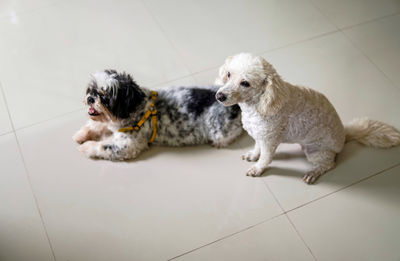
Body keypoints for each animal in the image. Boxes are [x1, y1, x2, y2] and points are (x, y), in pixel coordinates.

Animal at [73, 68, 242, 160]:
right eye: (91, 90)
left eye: (105, 98)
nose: (90, 98)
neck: (138, 109)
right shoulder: (110, 124)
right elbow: (95, 125)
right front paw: (81, 135)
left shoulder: (128, 145)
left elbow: (104, 146)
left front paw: (87, 146)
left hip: (219, 133)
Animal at [216, 52, 400, 183]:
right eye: (229, 74)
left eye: (245, 83)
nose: (219, 96)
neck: (261, 103)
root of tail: (344, 135)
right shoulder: (259, 135)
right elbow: (257, 148)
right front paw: (253, 156)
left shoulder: (269, 140)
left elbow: (265, 158)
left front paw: (257, 168)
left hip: (316, 151)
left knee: (329, 164)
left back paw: (313, 173)